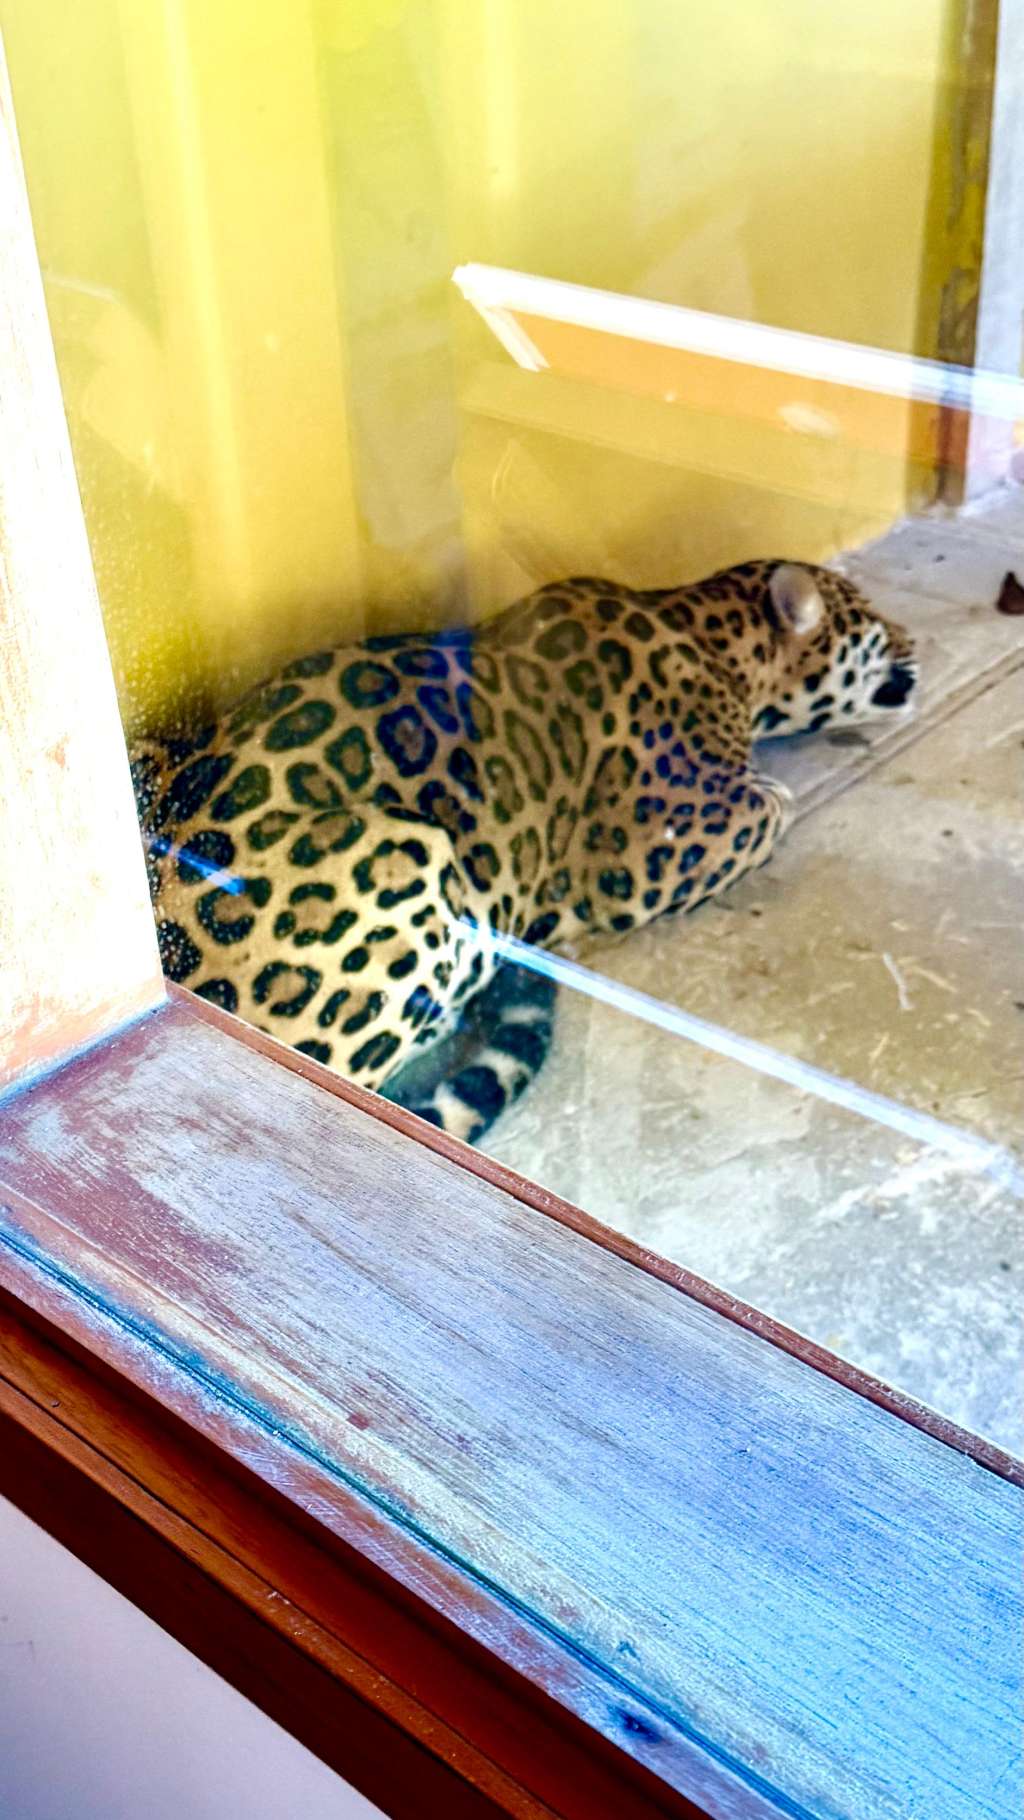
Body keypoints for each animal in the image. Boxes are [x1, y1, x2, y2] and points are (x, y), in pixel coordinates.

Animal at [133, 558, 917, 1143]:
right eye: (871, 621)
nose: (913, 639)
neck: (711, 634)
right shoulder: (655, 853)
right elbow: (772, 805)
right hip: (405, 855)